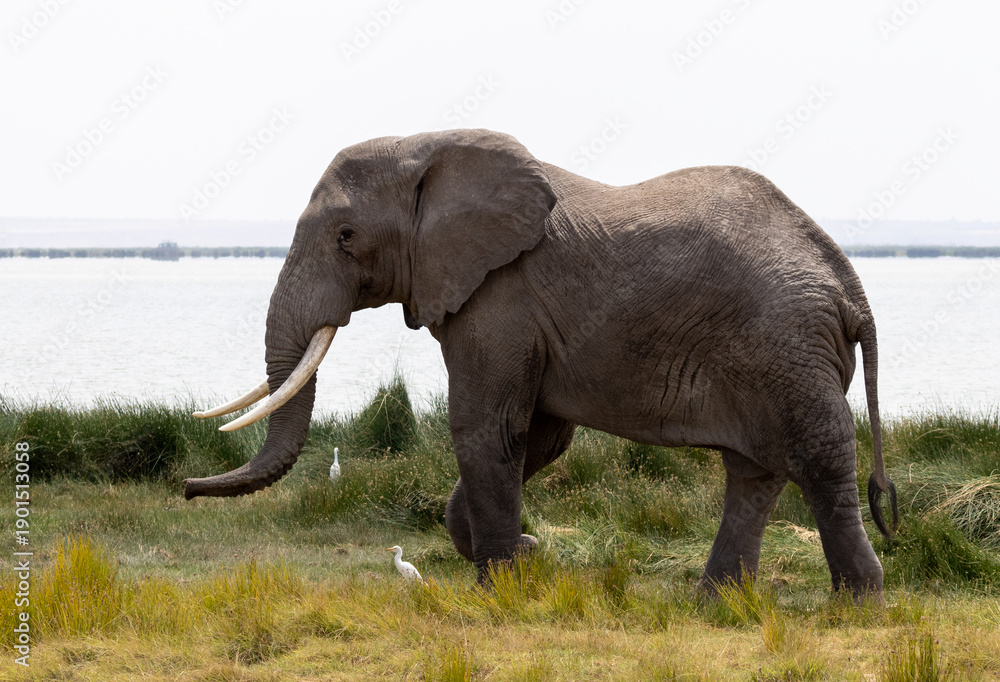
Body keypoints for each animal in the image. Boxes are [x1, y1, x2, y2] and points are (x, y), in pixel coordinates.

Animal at [184, 128, 898, 597]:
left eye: (346, 236)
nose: (187, 488)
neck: (429, 147)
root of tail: (851, 289)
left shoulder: (500, 296)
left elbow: (487, 427)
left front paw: (499, 584)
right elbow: (540, 436)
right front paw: (524, 558)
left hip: (789, 346)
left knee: (817, 458)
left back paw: (859, 598)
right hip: (778, 357)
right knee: (754, 472)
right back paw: (717, 601)